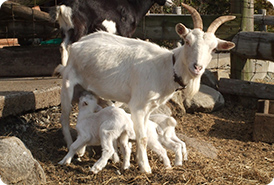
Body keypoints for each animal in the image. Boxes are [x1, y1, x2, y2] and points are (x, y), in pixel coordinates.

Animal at [55, 2, 235, 173]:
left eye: (213, 48)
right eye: (187, 41)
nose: (197, 67)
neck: (165, 68)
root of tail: (80, 42)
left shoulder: (150, 107)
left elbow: (145, 133)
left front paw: (136, 160)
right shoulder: (138, 106)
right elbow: (142, 137)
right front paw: (145, 167)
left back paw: (87, 151)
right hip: (68, 82)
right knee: (64, 118)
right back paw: (71, 149)